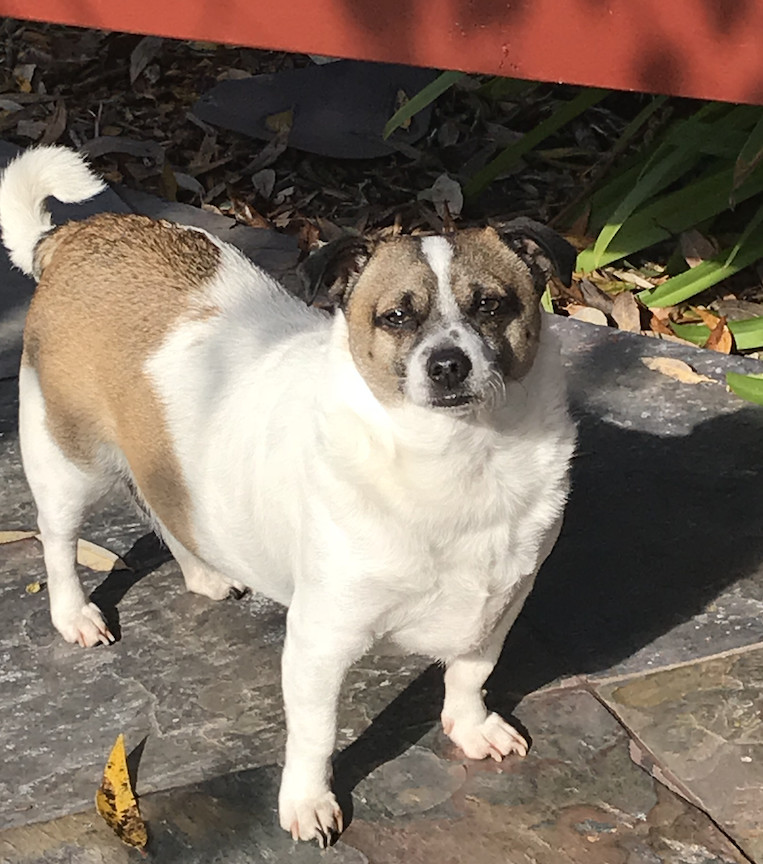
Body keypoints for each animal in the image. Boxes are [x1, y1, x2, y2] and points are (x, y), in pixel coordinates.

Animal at [0, 147, 576, 844]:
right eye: (396, 316)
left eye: (492, 305)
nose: (448, 364)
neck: (458, 457)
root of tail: (74, 237)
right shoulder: (319, 641)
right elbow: (315, 733)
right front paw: (307, 801)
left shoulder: (500, 607)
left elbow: (471, 674)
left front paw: (469, 727)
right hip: (66, 456)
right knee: (58, 538)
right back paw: (73, 613)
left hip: (167, 464)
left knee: (165, 505)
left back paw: (203, 571)